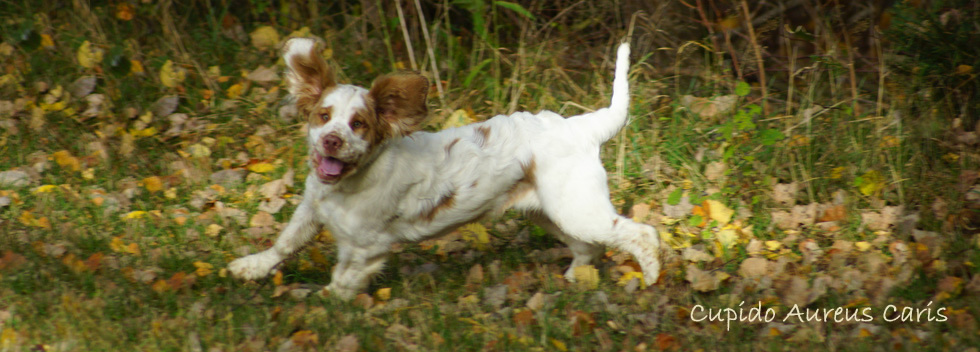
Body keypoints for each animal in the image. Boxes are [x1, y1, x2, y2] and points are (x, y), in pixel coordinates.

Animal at [229, 37, 660, 296]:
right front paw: (251, 267)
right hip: (551, 211)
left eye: (359, 124)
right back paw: (575, 279)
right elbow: (286, 242)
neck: (348, 183)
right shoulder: (311, 208)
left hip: (576, 207)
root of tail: (582, 126)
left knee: (641, 234)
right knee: (588, 246)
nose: (332, 141)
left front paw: (327, 303)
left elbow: (344, 277)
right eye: (323, 116)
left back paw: (652, 277)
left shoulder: (368, 246)